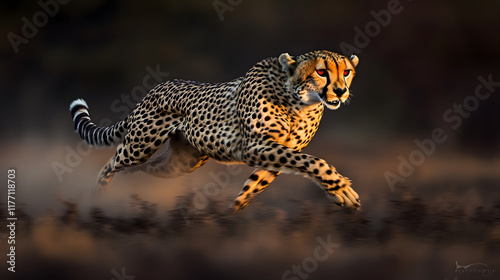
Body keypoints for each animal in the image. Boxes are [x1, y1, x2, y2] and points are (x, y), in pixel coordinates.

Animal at [69, 49, 360, 209]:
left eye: (346, 72)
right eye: (321, 72)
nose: (340, 91)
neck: (298, 101)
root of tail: (154, 88)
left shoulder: (276, 153)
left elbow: (254, 186)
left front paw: (230, 214)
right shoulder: (255, 146)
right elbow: (315, 161)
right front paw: (343, 188)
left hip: (182, 163)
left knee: (148, 168)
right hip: (139, 146)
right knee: (111, 162)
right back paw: (97, 194)